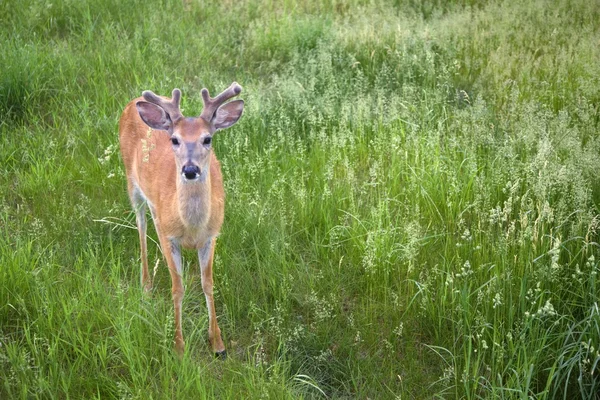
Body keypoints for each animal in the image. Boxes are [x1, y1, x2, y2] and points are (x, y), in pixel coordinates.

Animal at [118, 80, 244, 356]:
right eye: (174, 139)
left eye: (207, 138)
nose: (190, 169)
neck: (192, 228)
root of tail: (132, 102)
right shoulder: (168, 236)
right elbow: (177, 287)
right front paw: (178, 345)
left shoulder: (212, 235)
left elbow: (208, 283)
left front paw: (218, 343)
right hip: (131, 182)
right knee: (141, 224)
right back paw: (146, 285)